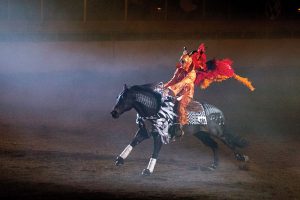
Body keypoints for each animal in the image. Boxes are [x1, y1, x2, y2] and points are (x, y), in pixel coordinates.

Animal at [110, 83, 248, 175]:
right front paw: (119, 160)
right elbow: (132, 143)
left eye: (124, 98)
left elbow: (155, 152)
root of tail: (218, 111)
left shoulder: (159, 136)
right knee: (214, 145)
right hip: (201, 134)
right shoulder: (143, 133)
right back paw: (213, 166)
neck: (155, 110)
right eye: (117, 97)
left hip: (218, 133)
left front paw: (148, 170)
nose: (113, 113)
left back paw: (242, 158)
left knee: (229, 142)